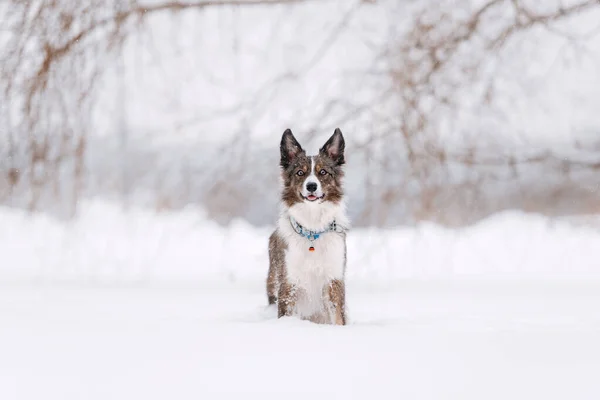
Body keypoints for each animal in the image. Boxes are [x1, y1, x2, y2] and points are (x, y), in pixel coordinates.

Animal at [266, 128, 350, 324]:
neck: (312, 229)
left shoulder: (333, 280)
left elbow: (338, 318)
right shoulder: (289, 282)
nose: (311, 186)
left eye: (323, 172)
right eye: (300, 173)